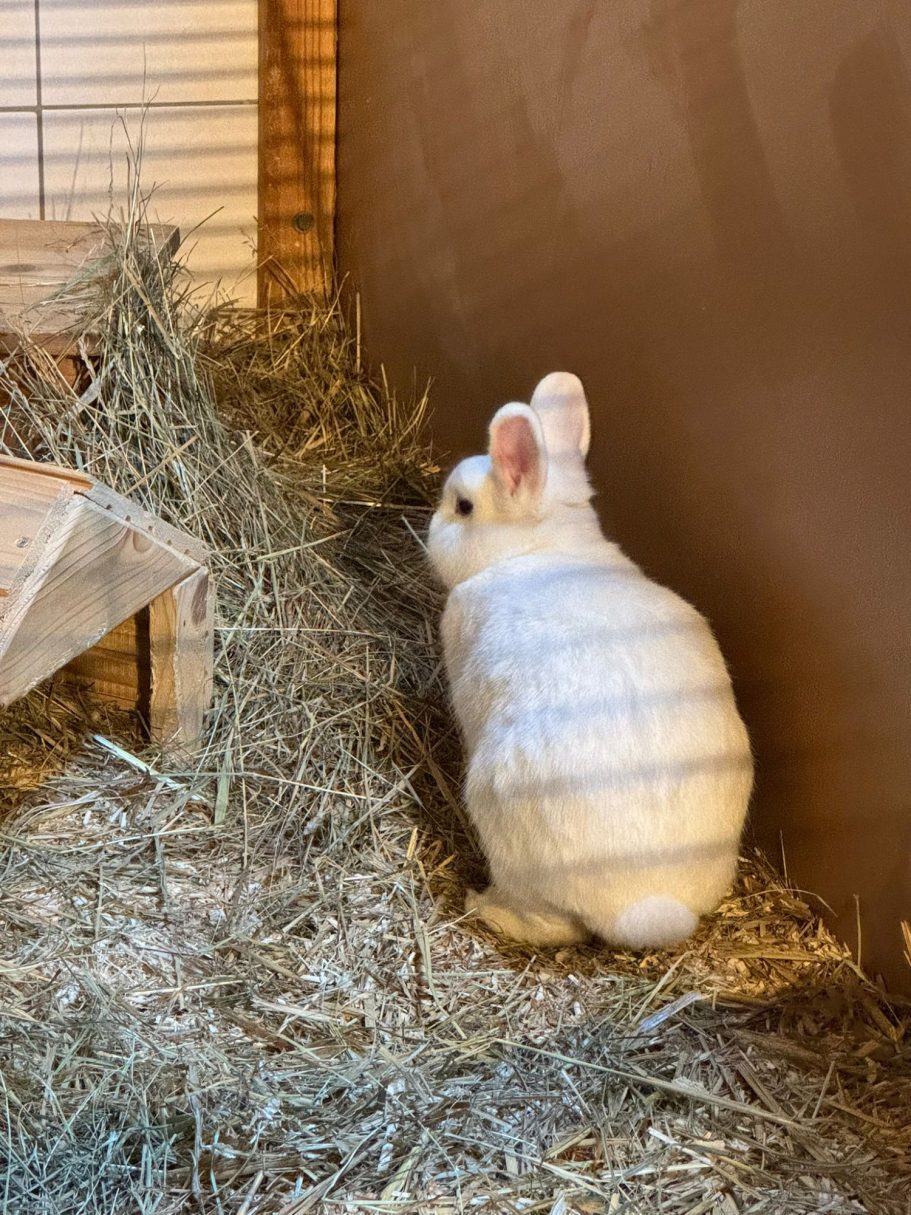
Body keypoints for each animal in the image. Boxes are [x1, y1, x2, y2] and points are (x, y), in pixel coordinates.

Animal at [426, 372, 753, 950]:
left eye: (463, 507)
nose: (428, 525)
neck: (538, 551)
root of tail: (641, 906)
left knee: (548, 925)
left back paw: (482, 906)